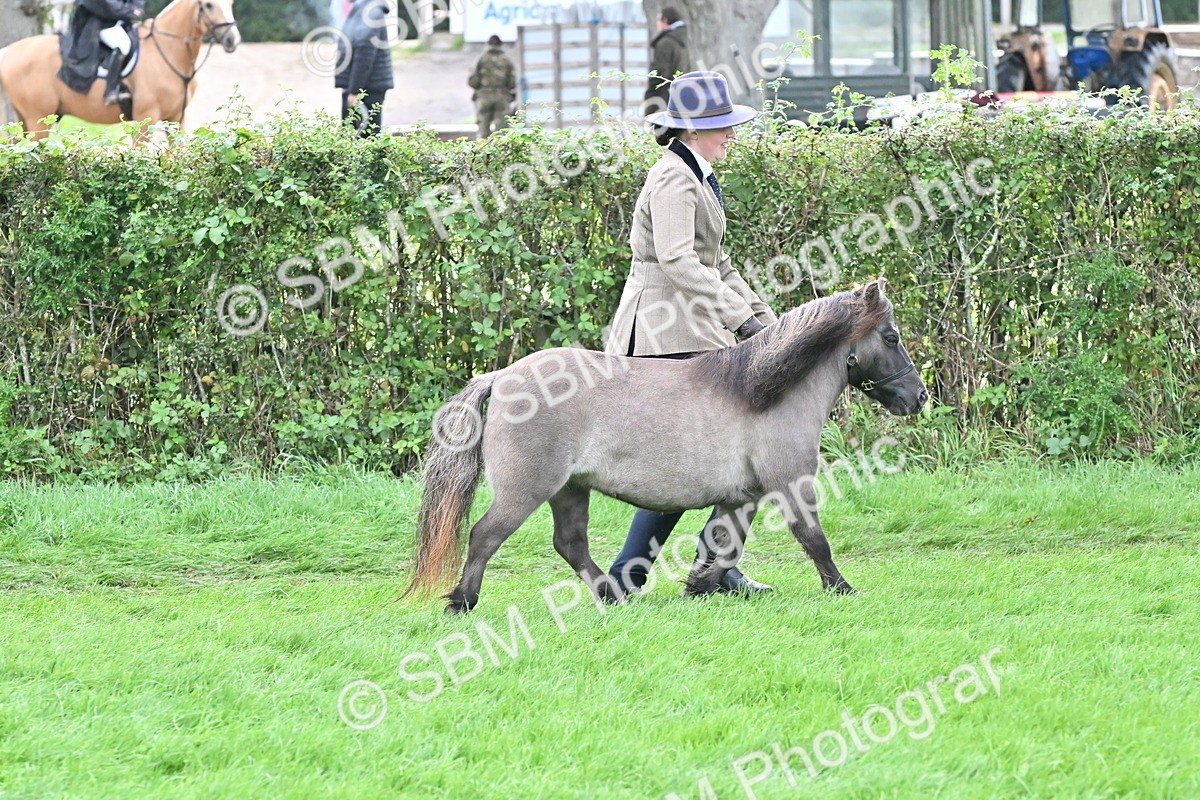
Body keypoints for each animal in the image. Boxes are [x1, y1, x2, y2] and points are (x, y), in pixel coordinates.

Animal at [0, 0, 240, 141]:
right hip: (39, 119)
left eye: (230, 3)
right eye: (208, 5)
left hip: (28, 119)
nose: (233, 40)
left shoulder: (176, 119)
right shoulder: (146, 118)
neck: (168, 51)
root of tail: (8, 51)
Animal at [405, 280, 928, 614]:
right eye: (891, 336)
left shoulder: (742, 497)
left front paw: (700, 587)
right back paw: (462, 602)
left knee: (570, 544)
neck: (762, 391)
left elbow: (724, 546)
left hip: (570, 489)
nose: (918, 397)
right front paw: (843, 589)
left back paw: (612, 596)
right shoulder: (791, 484)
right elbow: (812, 539)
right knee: (484, 536)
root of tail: (500, 376)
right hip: (526, 490)